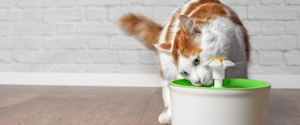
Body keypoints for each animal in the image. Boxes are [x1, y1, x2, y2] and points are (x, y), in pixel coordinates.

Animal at [116, 0, 250, 123]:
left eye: (197, 60)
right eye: (185, 73)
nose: (197, 81)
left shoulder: (240, 67)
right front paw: (169, 114)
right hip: (166, 66)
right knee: (165, 83)